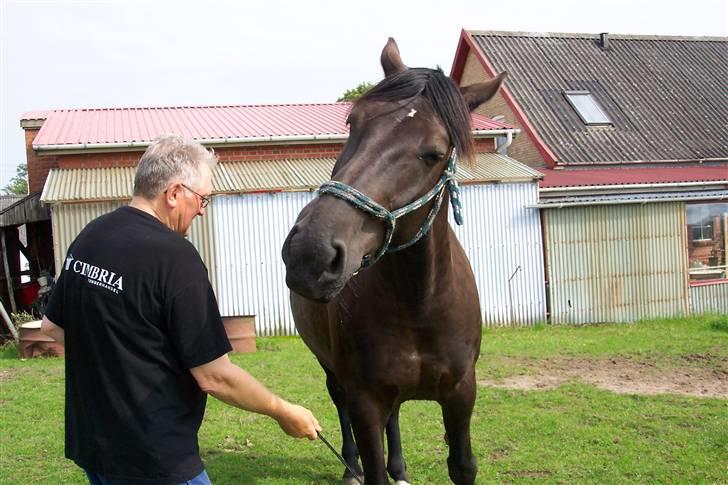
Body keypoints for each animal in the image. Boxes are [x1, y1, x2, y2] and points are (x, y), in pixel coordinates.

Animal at [280, 38, 506, 484]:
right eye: (353, 123)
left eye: (434, 153)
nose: (310, 252)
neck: (420, 303)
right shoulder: (364, 399)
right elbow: (372, 461)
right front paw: (365, 467)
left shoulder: (461, 394)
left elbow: (462, 464)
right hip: (331, 370)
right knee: (340, 406)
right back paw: (350, 467)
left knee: (395, 416)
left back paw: (400, 466)